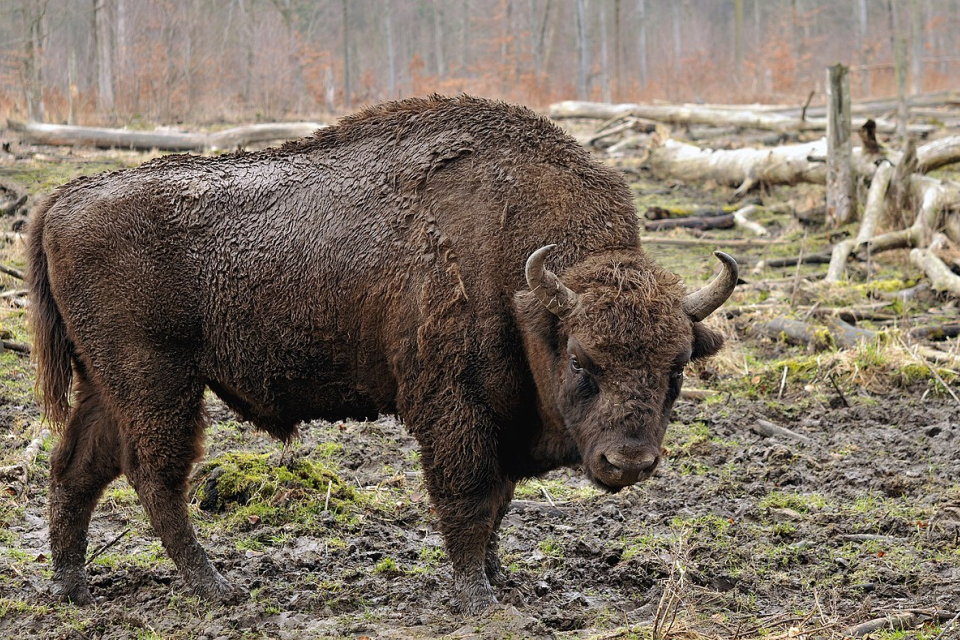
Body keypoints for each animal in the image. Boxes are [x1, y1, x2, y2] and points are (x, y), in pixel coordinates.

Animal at [30, 94, 736, 608]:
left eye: (678, 368)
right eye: (583, 361)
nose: (629, 461)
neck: (523, 287)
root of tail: (65, 196)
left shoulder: (501, 416)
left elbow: (499, 501)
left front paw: (498, 577)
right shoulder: (455, 408)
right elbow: (469, 498)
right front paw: (477, 596)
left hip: (106, 382)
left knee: (76, 467)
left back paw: (71, 586)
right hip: (157, 380)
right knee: (153, 474)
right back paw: (217, 587)